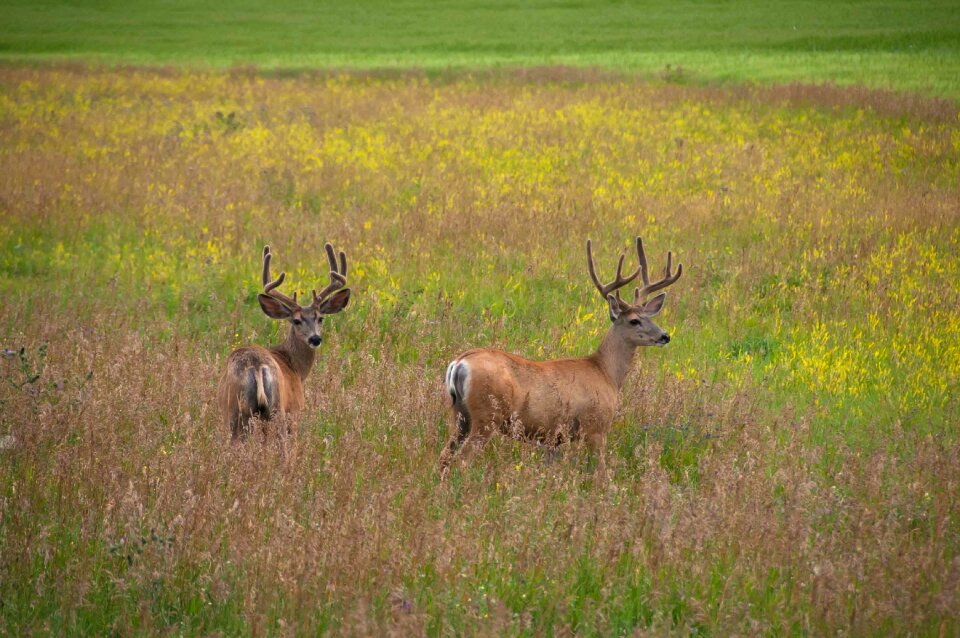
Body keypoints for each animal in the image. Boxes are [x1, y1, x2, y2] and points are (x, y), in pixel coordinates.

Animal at [218, 242, 352, 442]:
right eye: (296, 320)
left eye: (320, 318)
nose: (315, 338)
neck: (295, 367)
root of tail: (256, 365)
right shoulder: (295, 408)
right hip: (278, 409)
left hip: (235, 411)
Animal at [438, 238, 680, 482]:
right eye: (634, 321)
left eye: (650, 317)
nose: (665, 336)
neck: (606, 373)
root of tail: (459, 363)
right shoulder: (596, 427)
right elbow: (601, 474)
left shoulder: (554, 438)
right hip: (487, 415)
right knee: (462, 461)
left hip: (460, 416)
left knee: (444, 457)